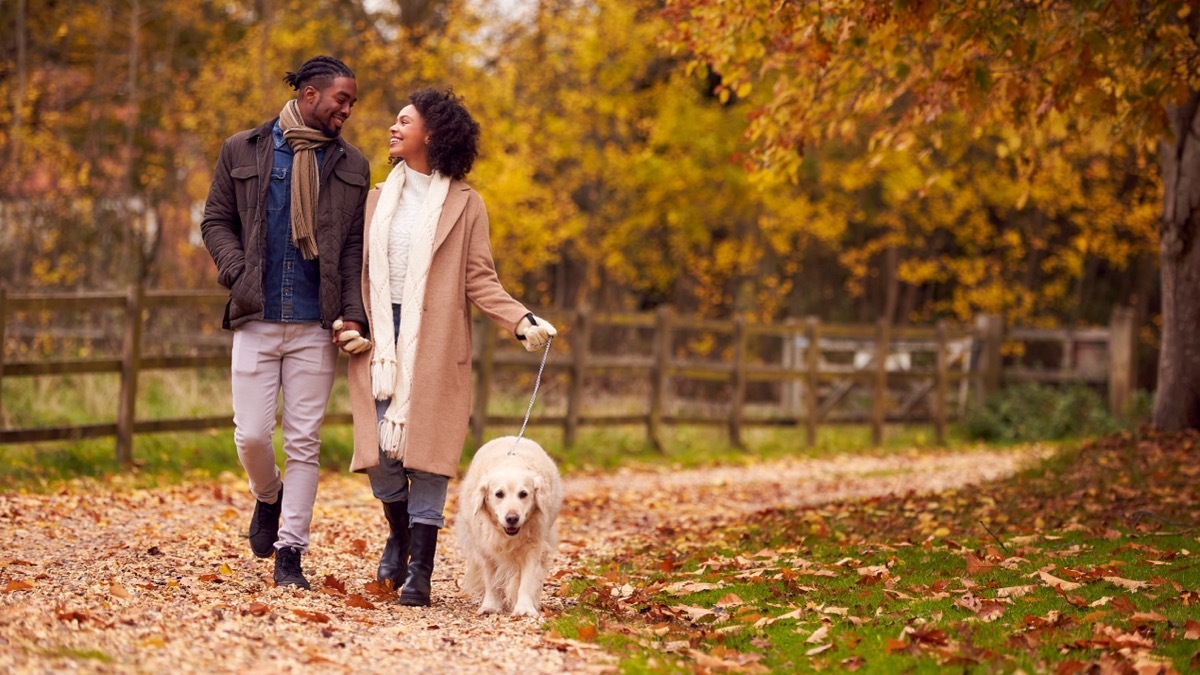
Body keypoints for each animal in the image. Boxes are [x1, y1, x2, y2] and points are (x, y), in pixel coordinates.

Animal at [453, 437, 561, 614]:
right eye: (499, 494)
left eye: (523, 494)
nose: (512, 518)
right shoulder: (485, 549)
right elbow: (491, 580)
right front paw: (490, 605)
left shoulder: (533, 546)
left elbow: (527, 580)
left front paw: (525, 608)